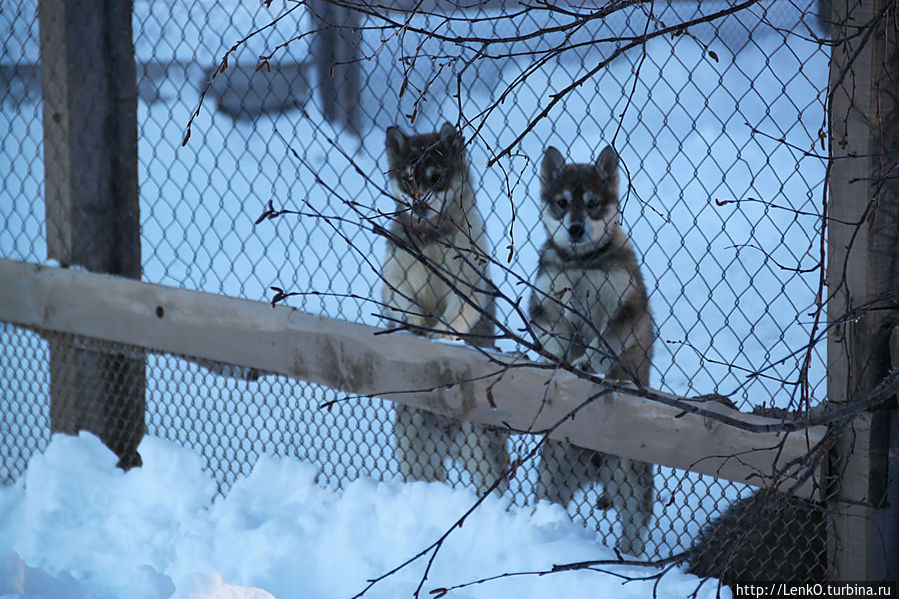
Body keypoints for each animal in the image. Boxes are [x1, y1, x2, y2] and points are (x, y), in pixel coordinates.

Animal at [378, 123, 506, 496]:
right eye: (408, 180)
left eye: (436, 179)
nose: (419, 206)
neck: (430, 235)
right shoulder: (396, 280)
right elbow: (404, 304)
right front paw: (415, 327)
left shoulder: (467, 289)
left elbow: (453, 319)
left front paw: (438, 339)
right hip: (416, 454)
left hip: (483, 453)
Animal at [532, 143, 656, 556]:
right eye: (562, 202)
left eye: (592, 203)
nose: (574, 228)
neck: (580, 263)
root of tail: (593, 462)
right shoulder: (545, 304)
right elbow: (554, 338)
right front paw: (558, 362)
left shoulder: (625, 308)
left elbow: (605, 344)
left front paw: (588, 361)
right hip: (553, 475)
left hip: (631, 481)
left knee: (633, 528)